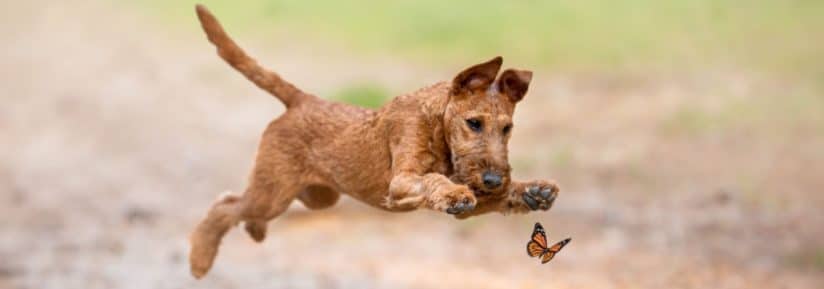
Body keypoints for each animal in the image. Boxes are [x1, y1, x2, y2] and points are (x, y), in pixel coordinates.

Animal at [188, 4, 560, 278]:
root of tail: (302, 100)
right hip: (274, 192)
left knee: (239, 203)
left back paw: (253, 231)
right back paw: (200, 260)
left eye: (507, 128)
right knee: (225, 206)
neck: (437, 123)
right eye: (474, 123)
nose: (495, 180)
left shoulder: (468, 202)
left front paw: (534, 190)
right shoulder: (401, 181)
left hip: (314, 195)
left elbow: (486, 197)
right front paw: (455, 191)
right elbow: (433, 179)